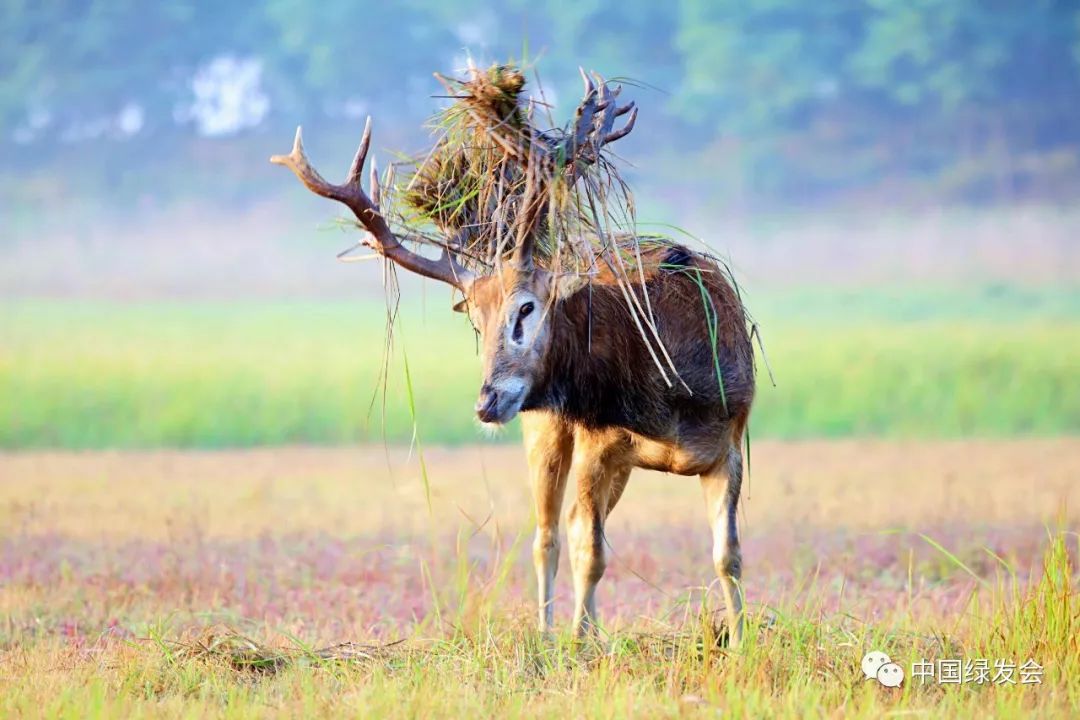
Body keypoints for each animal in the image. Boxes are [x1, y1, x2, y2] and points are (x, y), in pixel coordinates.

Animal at [272, 78, 760, 647]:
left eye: (527, 307)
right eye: (475, 321)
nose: (488, 401)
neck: (670, 393)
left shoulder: (730, 440)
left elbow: (728, 555)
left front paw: (741, 641)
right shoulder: (598, 441)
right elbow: (588, 551)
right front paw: (576, 644)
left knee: (571, 525)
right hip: (547, 430)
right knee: (550, 534)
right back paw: (552, 634)